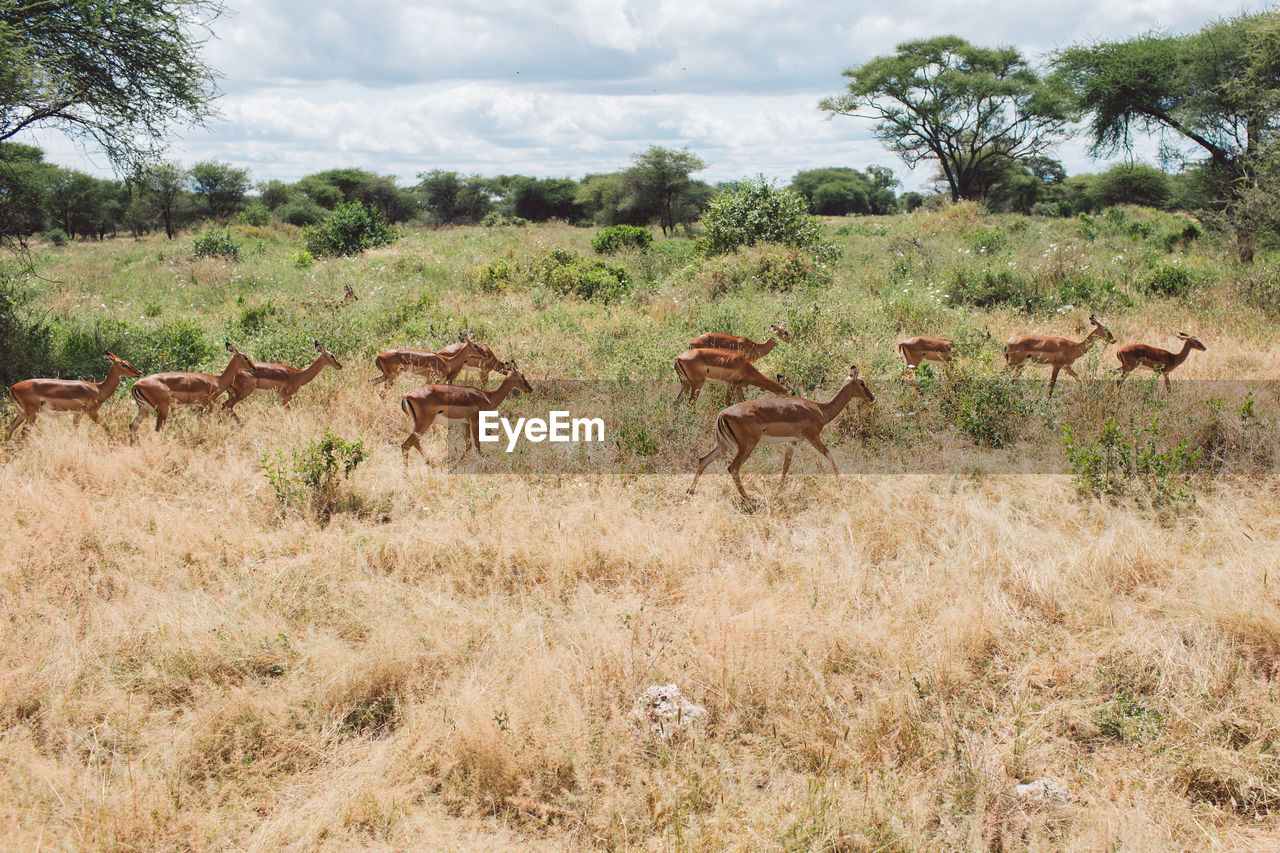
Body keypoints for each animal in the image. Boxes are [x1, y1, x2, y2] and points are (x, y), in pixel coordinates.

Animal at [4, 348, 142, 438]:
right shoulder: (91, 412)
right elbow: (106, 427)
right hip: (32, 413)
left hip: (23, 413)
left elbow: (74, 431)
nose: (139, 372)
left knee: (9, 428)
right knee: (24, 432)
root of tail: (12, 388)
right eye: (124, 364)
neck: (98, 389)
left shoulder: (78, 414)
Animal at [128, 343, 256, 438]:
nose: (254, 368)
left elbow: (200, 422)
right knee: (157, 429)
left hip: (144, 409)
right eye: (245, 357)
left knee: (133, 425)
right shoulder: (208, 404)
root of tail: (136, 385)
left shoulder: (200, 406)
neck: (217, 380)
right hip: (162, 409)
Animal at [404, 358, 535, 466]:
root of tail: (406, 395)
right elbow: (477, 444)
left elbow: (468, 446)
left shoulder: (465, 423)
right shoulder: (475, 420)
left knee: (415, 443)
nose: (530, 389)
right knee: (406, 444)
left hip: (419, 424)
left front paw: (455, 465)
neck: (487, 397)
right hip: (424, 423)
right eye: (522, 375)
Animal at [691, 363, 880, 499]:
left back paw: (690, 492)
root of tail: (722, 414)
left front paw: (778, 491)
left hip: (723, 445)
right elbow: (829, 454)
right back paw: (748, 498)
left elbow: (785, 465)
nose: (872, 397)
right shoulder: (812, 437)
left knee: (703, 460)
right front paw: (840, 483)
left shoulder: (792, 441)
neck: (820, 410)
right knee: (733, 468)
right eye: (862, 383)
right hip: (747, 446)